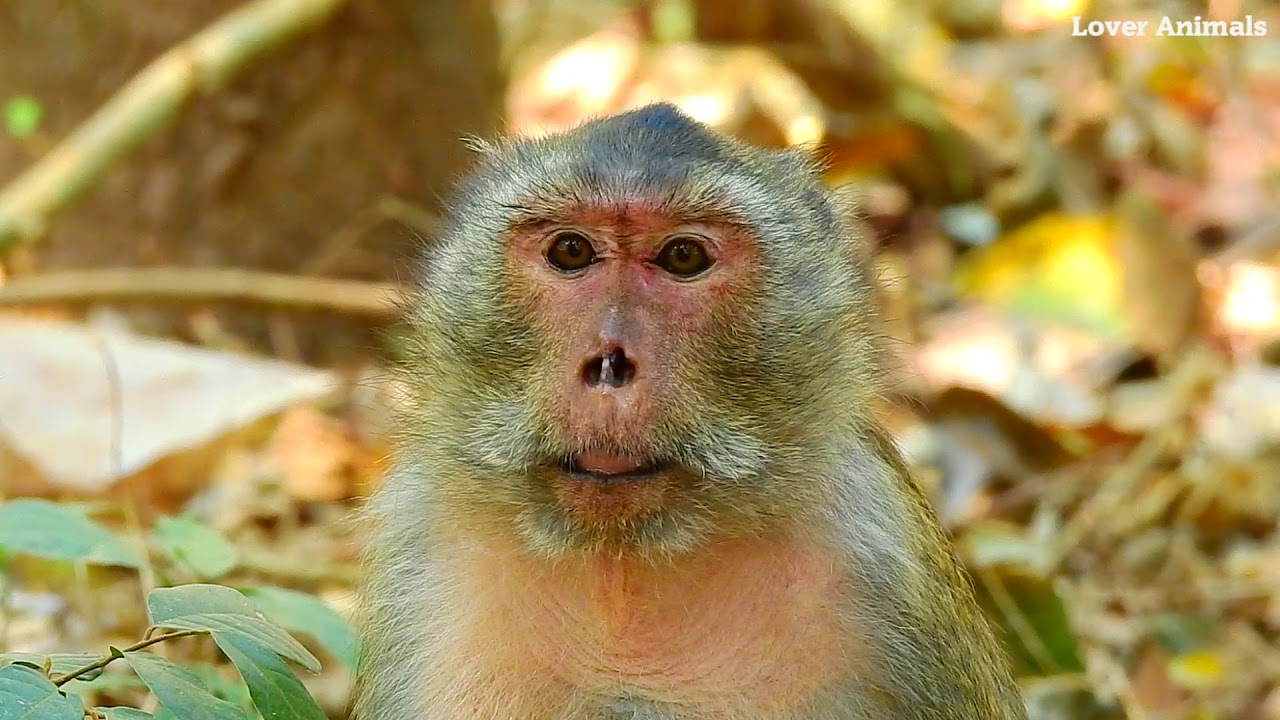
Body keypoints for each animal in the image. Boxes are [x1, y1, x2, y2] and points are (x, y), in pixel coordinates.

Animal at [352, 103, 1027, 720]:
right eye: (570, 250)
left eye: (683, 258)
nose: (609, 365)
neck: (623, 567)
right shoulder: (421, 548)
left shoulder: (885, 560)